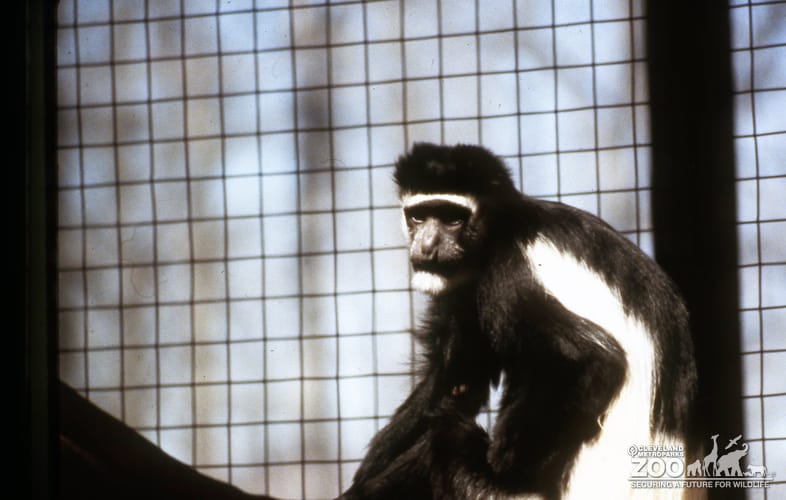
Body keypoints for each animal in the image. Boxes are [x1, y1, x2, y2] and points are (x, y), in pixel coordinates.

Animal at [340, 143, 698, 499]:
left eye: (454, 219)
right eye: (418, 215)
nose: (427, 246)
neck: (502, 230)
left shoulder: (510, 275)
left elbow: (593, 360)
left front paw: (502, 462)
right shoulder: (466, 290)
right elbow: (455, 381)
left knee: (445, 440)